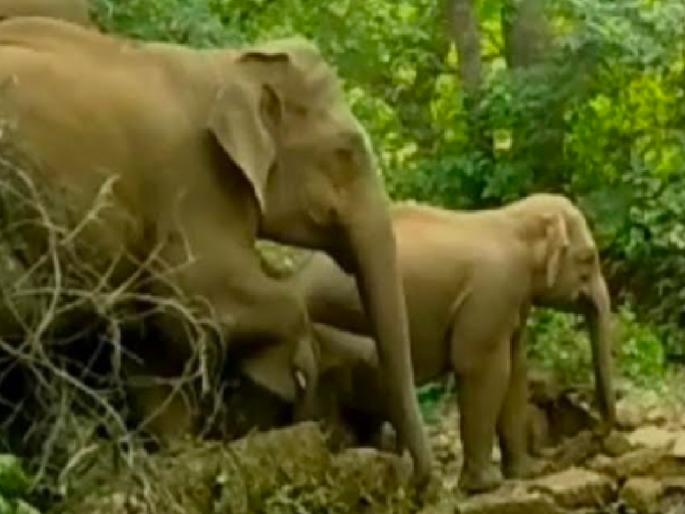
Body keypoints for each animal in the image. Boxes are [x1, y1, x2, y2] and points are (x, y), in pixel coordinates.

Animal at [0, 17, 431, 481]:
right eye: (345, 152)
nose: (418, 479)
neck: (227, 66)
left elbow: (152, 333)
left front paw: (181, 453)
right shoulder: (193, 179)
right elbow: (196, 296)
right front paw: (286, 374)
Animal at [280, 193, 615, 493]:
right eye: (588, 258)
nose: (597, 433)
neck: (511, 219)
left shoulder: (513, 299)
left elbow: (516, 369)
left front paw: (526, 472)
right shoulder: (492, 292)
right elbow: (483, 367)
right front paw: (485, 486)